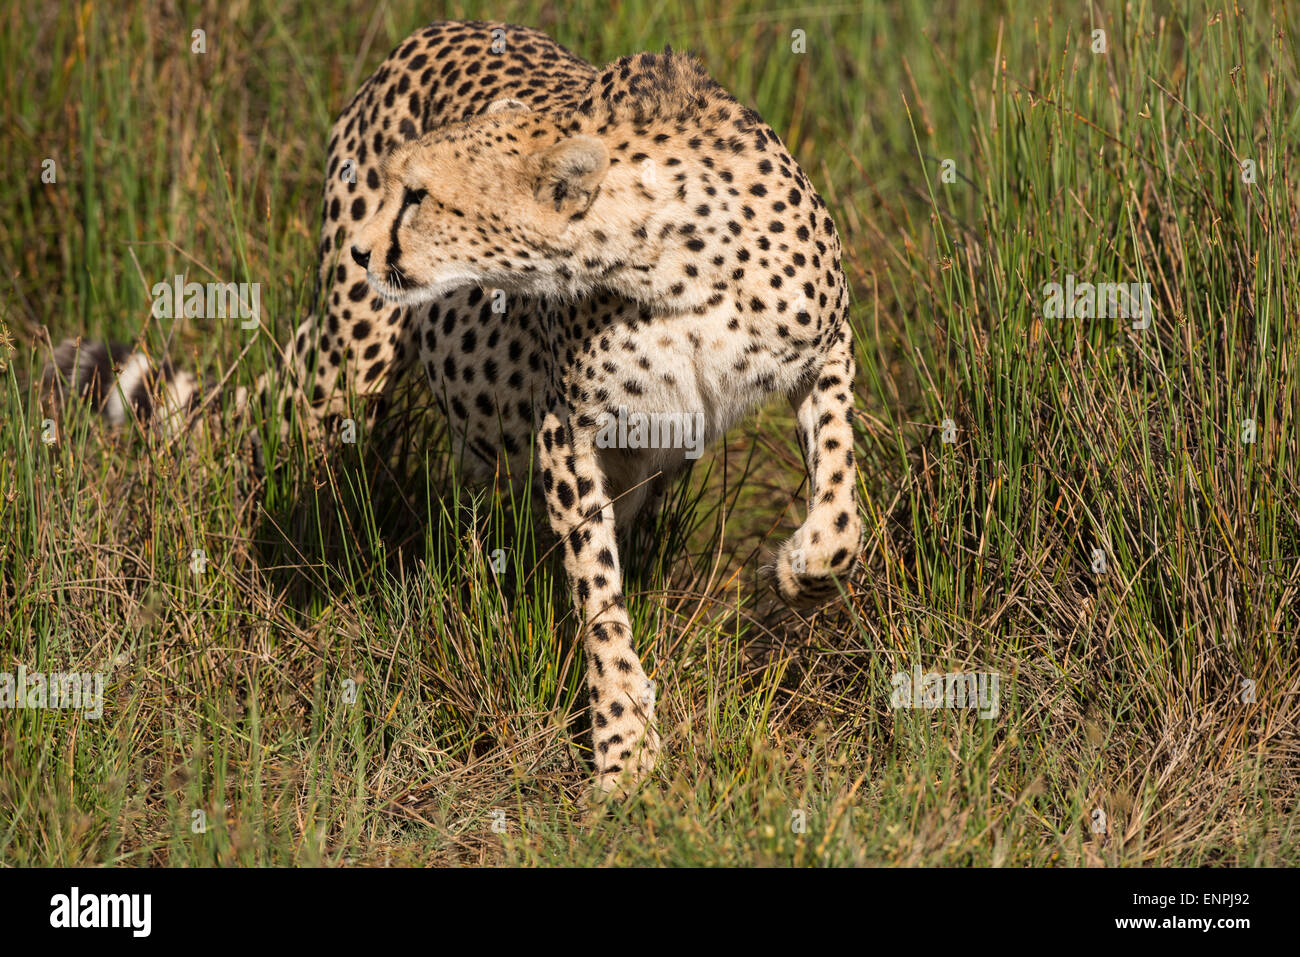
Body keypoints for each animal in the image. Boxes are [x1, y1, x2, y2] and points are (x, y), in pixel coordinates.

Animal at [41, 20, 863, 795]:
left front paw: (805, 569)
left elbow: (841, 496)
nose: (368, 249)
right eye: (398, 187)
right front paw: (624, 743)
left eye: (421, 196)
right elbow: (599, 596)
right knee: (298, 453)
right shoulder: (568, 429)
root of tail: (431, 30)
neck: (664, 261)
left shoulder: (826, 350)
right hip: (352, 356)